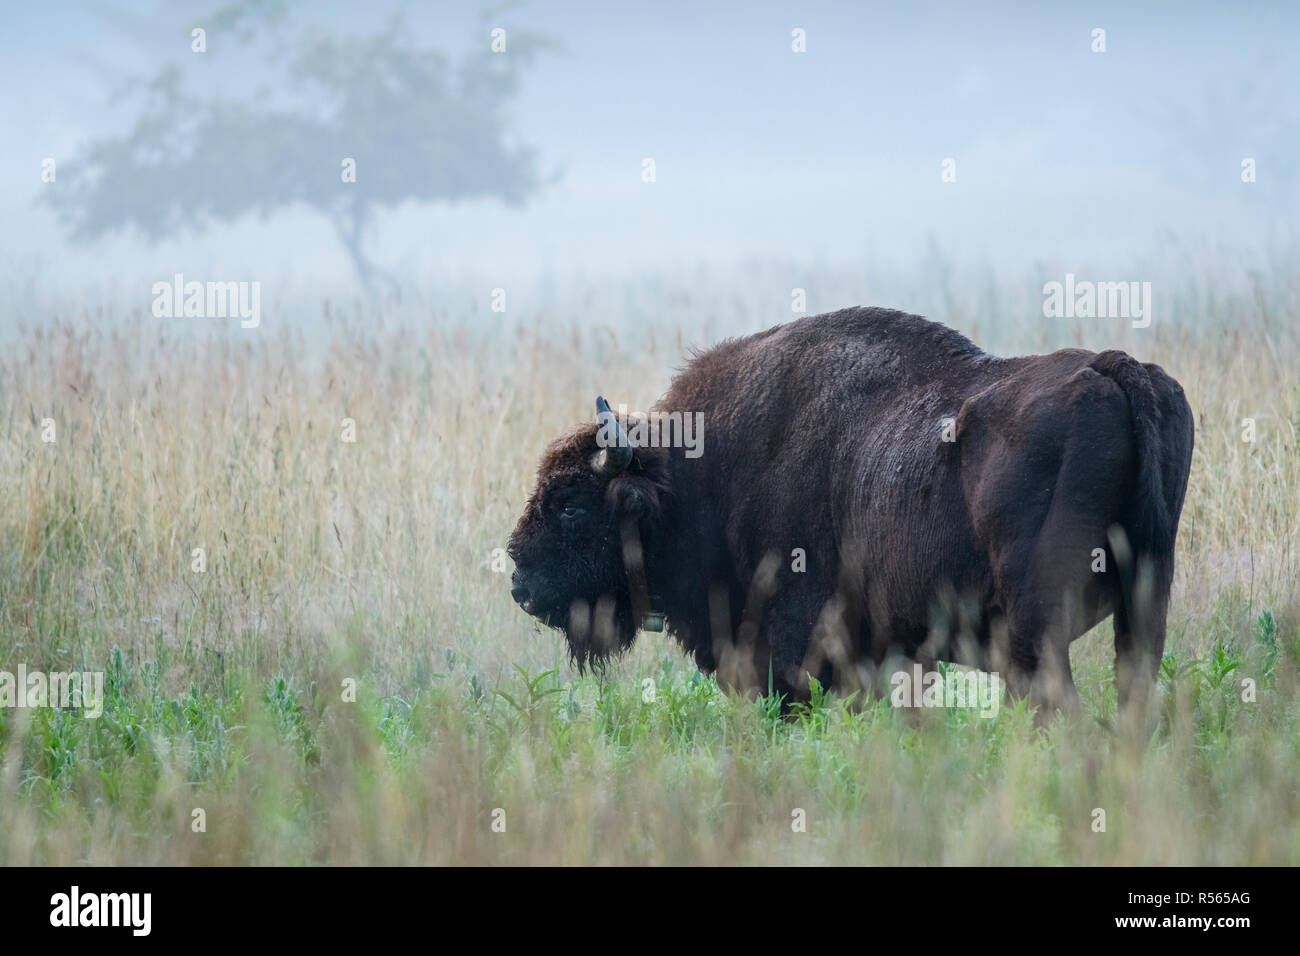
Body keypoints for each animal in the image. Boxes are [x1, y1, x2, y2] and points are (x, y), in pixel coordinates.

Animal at [504, 306, 1190, 717]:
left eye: (570, 505)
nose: (518, 582)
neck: (697, 473)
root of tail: (1111, 368)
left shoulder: (792, 652)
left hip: (1036, 629)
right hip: (1145, 606)